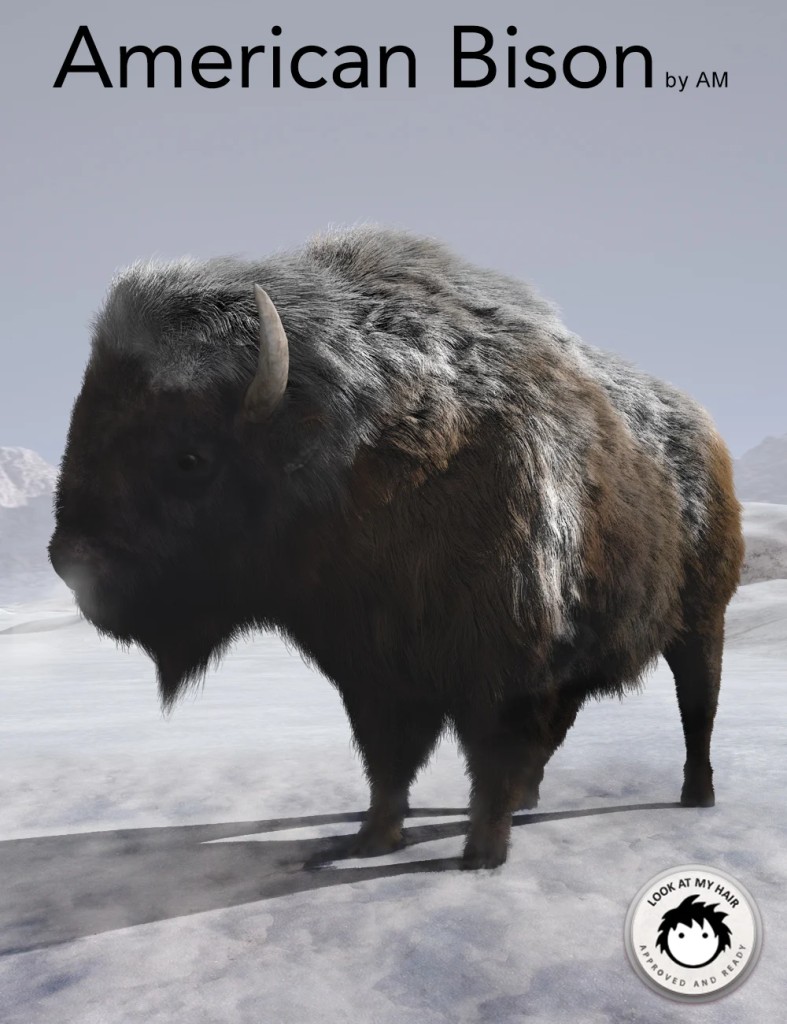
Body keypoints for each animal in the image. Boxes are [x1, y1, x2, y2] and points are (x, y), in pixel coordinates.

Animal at [49, 226, 744, 869]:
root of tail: (707, 438)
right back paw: (534, 802)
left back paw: (696, 796)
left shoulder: (500, 668)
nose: (70, 561)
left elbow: (488, 757)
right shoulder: (372, 673)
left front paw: (480, 855)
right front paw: (370, 841)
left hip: (701, 625)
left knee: (697, 709)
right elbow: (388, 763)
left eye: (189, 458)